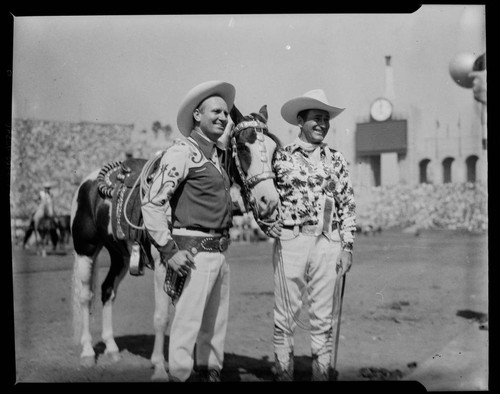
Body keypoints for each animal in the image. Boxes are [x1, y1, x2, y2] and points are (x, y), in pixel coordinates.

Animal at [70, 104, 282, 378]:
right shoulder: (166, 264)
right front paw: (160, 366)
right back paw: (87, 352)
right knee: (86, 296)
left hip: (121, 256)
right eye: (245, 147)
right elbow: (162, 317)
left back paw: (112, 348)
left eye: (274, 150)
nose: (270, 201)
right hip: (86, 249)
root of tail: (88, 183)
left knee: (107, 290)